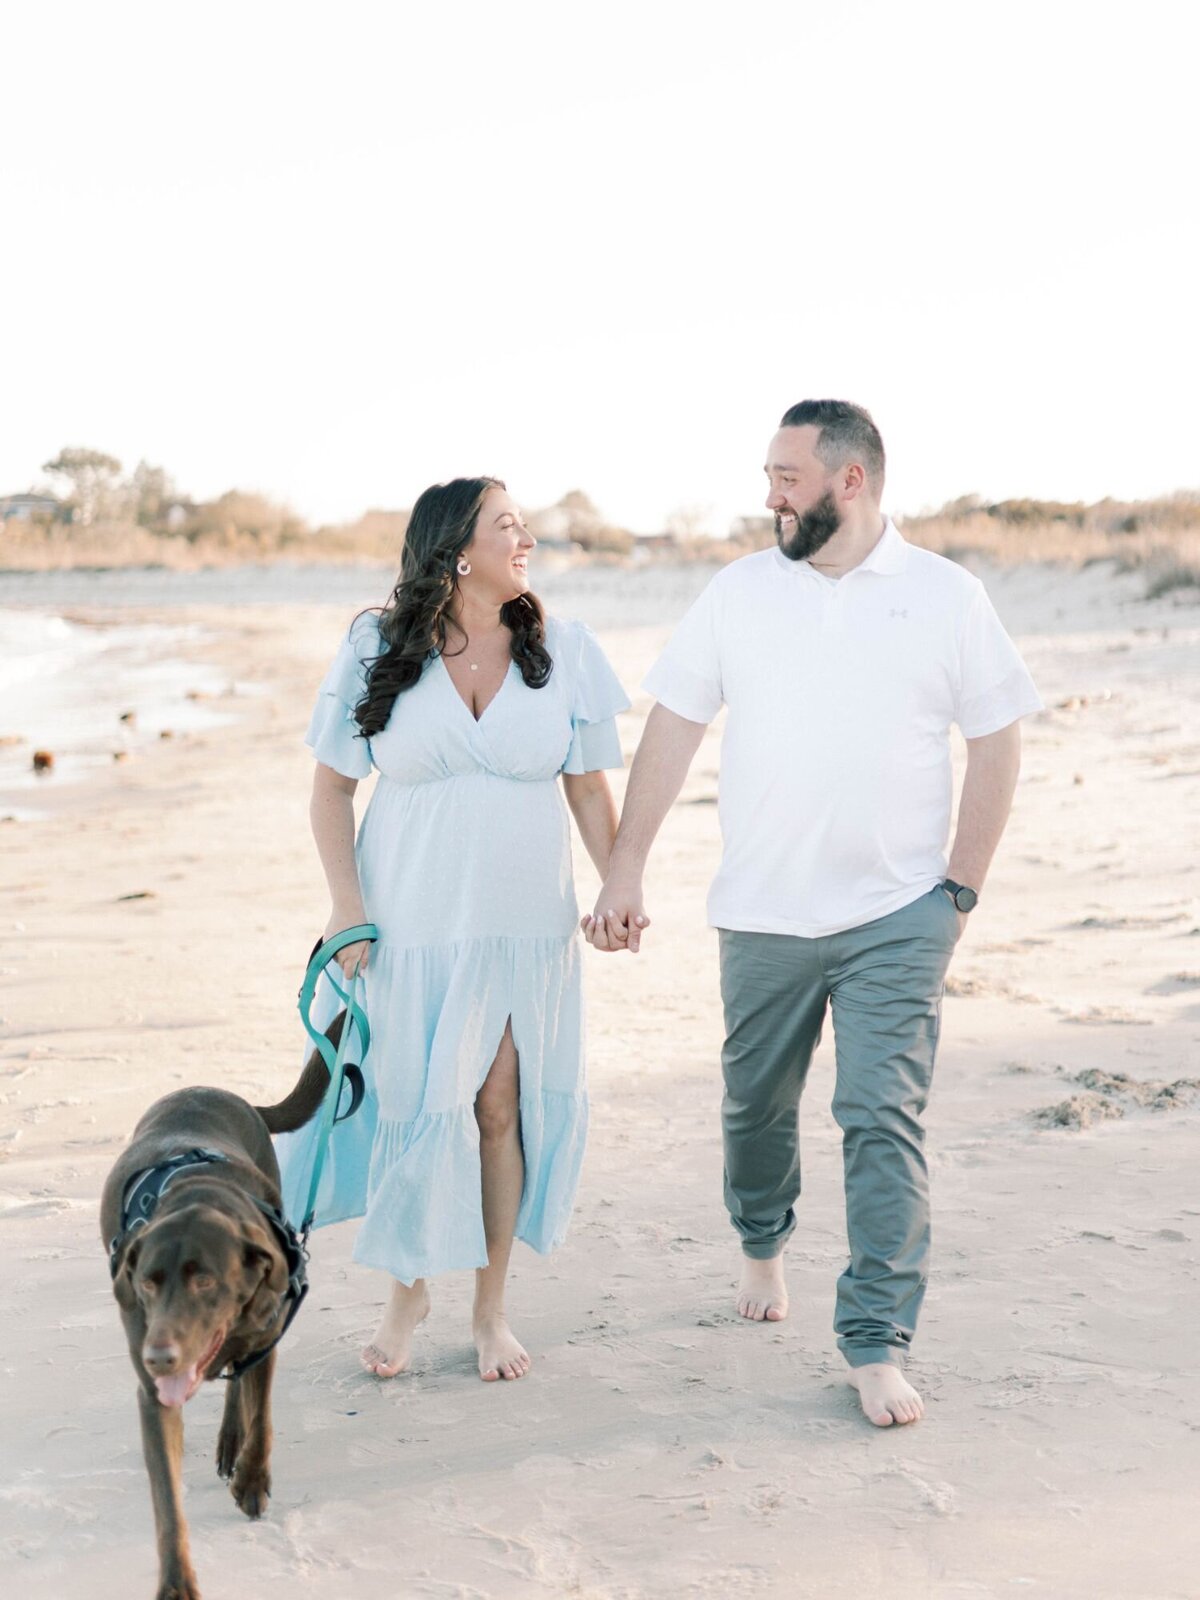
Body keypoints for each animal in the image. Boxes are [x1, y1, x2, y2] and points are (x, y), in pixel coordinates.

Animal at [100, 1017, 345, 1600]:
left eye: (205, 1280)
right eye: (147, 1282)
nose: (160, 1357)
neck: (199, 1195)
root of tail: (228, 1094)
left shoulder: (269, 1332)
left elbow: (265, 1417)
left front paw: (252, 1479)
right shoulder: (154, 1393)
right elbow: (167, 1500)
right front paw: (176, 1581)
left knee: (242, 1384)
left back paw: (233, 1444)